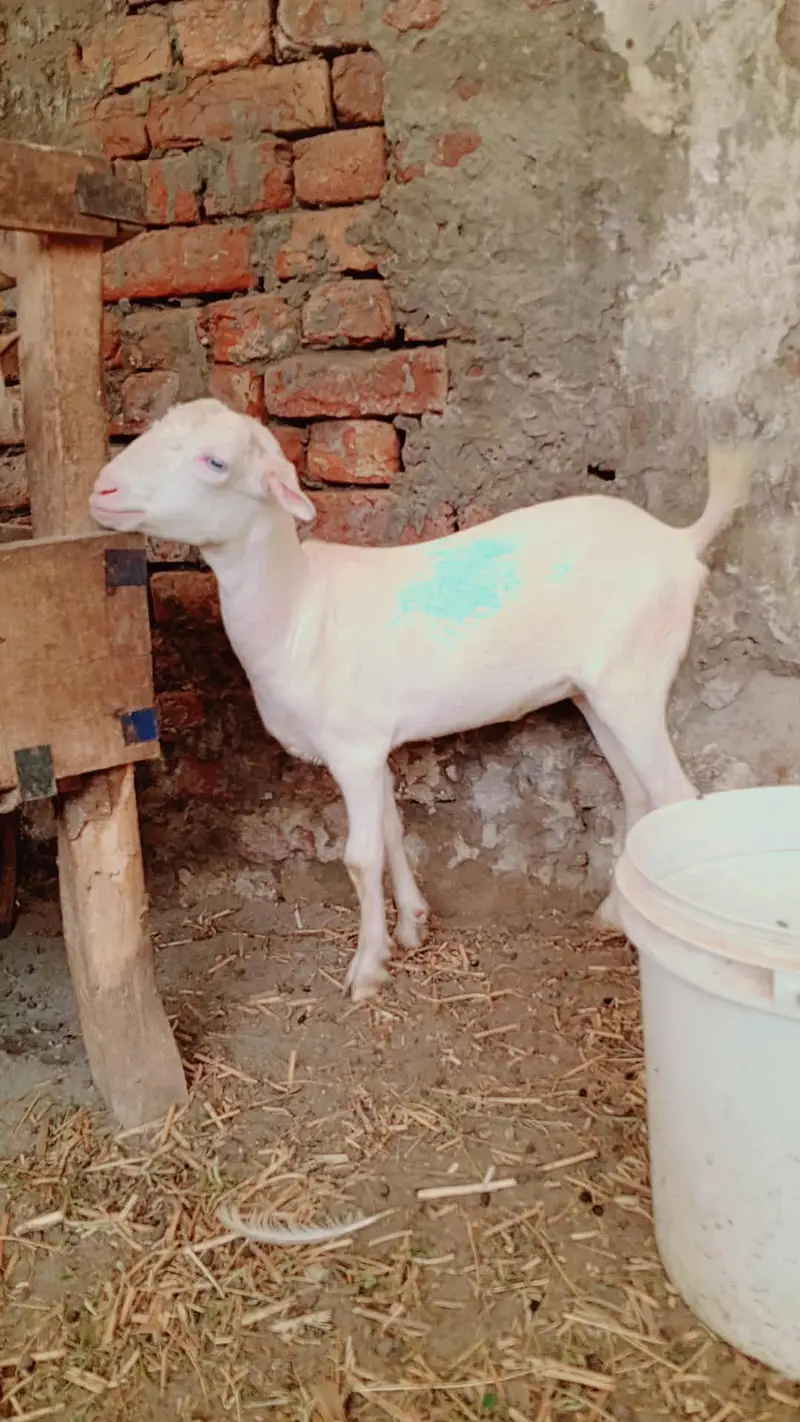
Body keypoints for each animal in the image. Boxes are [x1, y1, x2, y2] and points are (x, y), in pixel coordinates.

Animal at [90, 399, 755, 1002]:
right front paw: (411, 925)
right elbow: (391, 830)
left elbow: (360, 857)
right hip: (597, 692)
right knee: (639, 794)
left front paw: (367, 970)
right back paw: (614, 913)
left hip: (634, 680)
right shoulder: (375, 747)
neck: (300, 608)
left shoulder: (353, 748)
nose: (103, 489)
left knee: (675, 794)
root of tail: (680, 541)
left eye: (216, 462)